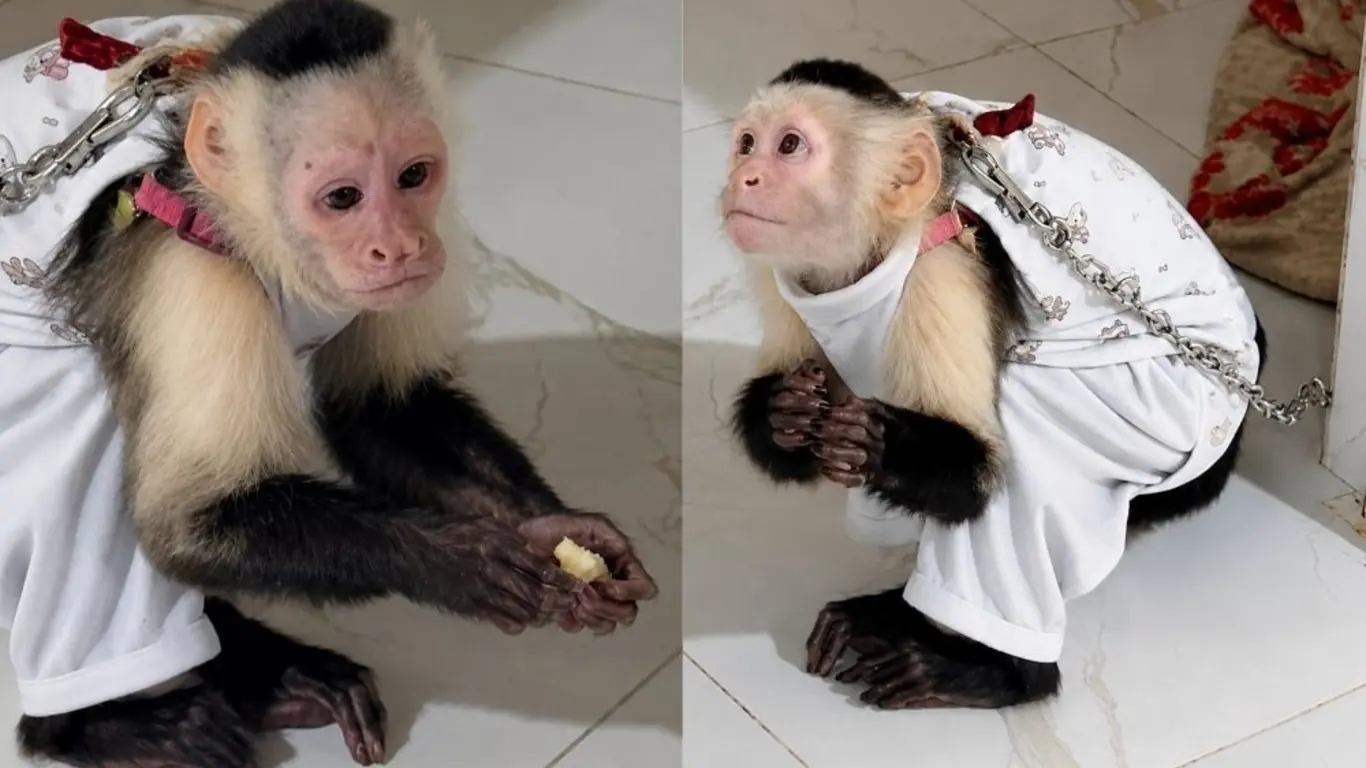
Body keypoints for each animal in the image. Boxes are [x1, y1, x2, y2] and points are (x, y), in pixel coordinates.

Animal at [0, 3, 658, 766]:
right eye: (343, 197)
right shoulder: (188, 276)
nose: (400, 247)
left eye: (413, 176)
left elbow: (377, 410)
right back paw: (99, 723)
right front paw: (458, 562)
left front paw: (554, 527)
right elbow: (191, 522)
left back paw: (264, 673)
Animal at [720, 58, 1265, 711]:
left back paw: (991, 671)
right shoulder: (783, 272)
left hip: (1174, 414)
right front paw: (785, 415)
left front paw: (875, 444)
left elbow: (976, 475)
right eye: (746, 144)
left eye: (790, 146)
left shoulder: (946, 268)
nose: (743, 177)